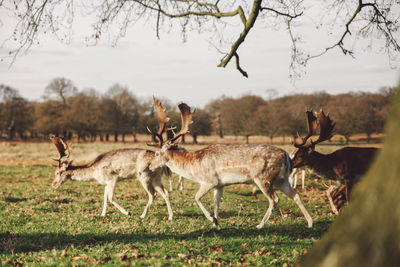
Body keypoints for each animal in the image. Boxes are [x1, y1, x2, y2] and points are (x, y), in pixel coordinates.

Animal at [147, 99, 312, 229]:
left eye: (157, 153)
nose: (150, 166)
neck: (193, 167)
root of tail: (286, 156)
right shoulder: (219, 185)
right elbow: (216, 202)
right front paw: (216, 222)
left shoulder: (209, 181)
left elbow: (197, 197)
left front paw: (211, 219)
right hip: (281, 180)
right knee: (295, 195)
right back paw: (310, 223)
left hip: (263, 177)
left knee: (274, 199)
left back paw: (260, 225)